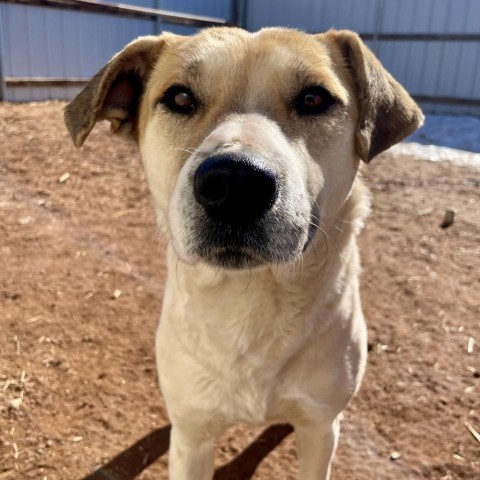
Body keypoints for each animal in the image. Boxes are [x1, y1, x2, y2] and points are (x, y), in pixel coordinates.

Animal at [64, 27, 424, 480]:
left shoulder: (320, 430)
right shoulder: (193, 439)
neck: (252, 298)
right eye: (180, 98)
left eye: (314, 98)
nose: (235, 183)